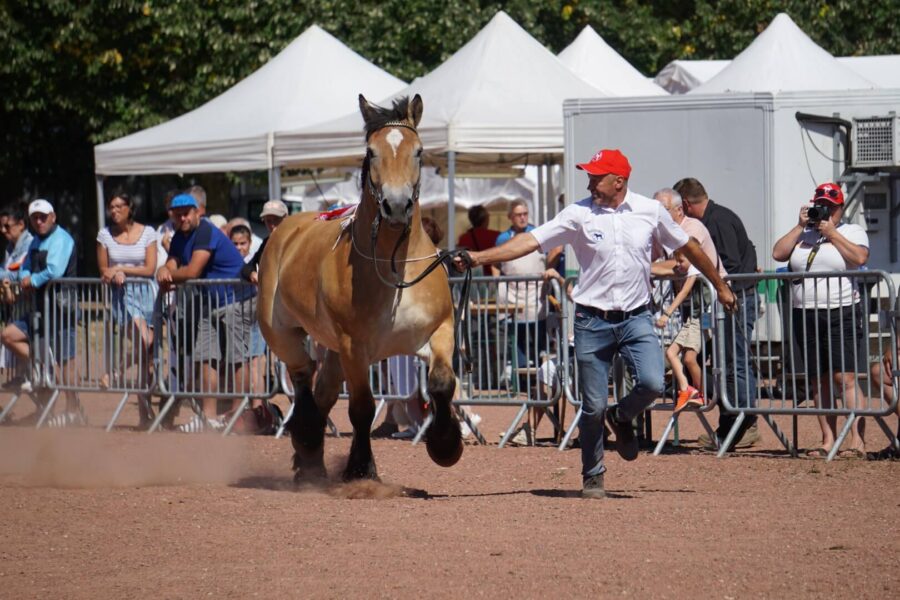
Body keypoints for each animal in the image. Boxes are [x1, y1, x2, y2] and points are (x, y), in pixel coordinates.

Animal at [256, 95, 460, 482]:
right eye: (370, 152)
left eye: (419, 152)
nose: (396, 206)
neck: (393, 269)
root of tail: (285, 229)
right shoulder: (354, 346)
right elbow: (363, 408)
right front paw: (361, 469)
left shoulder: (440, 329)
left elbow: (442, 382)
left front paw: (446, 445)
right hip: (283, 334)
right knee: (303, 377)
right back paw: (307, 447)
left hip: (333, 349)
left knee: (323, 391)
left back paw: (311, 462)